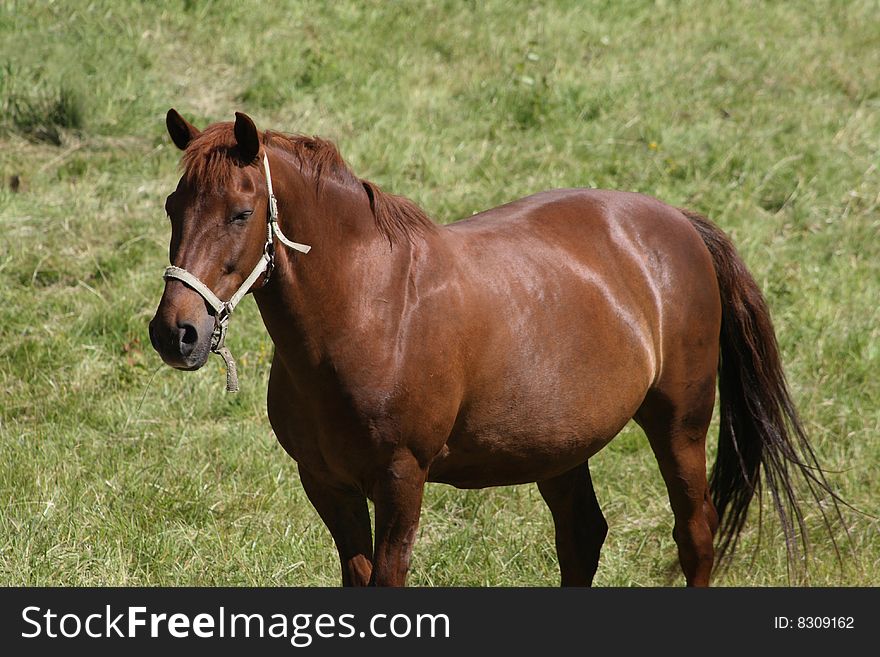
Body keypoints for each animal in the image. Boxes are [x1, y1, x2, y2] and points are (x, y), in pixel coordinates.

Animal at [150, 110, 840, 588]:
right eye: (172, 205)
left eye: (241, 213)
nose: (175, 332)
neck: (370, 311)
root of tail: (679, 223)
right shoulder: (325, 483)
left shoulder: (401, 479)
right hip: (561, 445)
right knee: (582, 536)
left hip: (681, 426)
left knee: (694, 535)